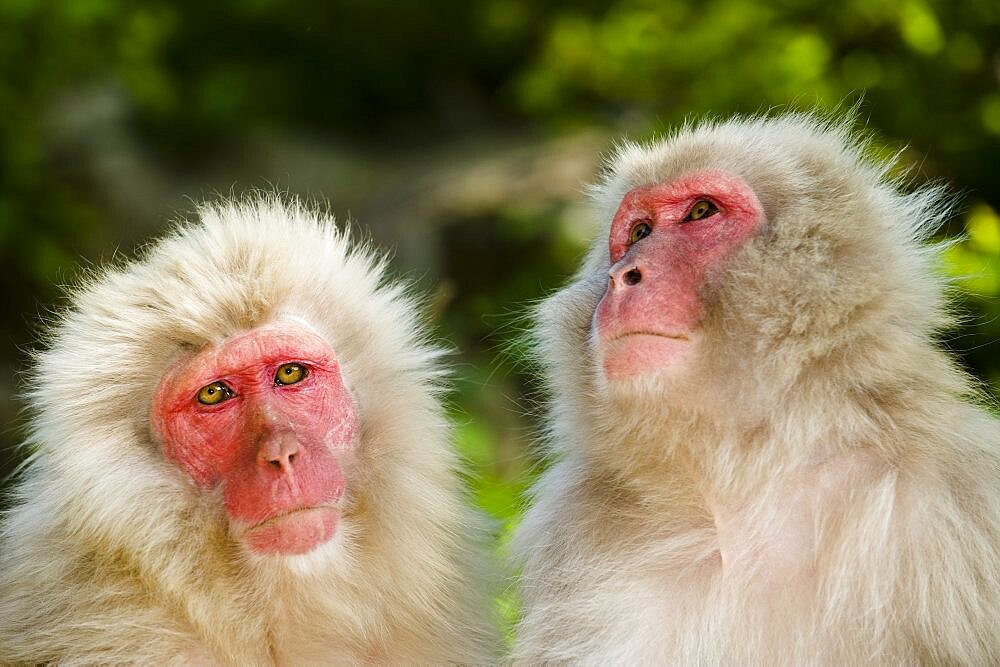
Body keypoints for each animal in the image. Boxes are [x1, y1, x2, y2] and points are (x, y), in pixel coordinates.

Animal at [512, 115, 1000, 664]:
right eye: (639, 232)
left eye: (701, 212)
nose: (623, 276)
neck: (743, 471)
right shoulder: (571, 534)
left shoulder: (960, 494)